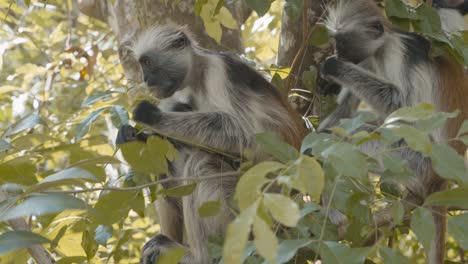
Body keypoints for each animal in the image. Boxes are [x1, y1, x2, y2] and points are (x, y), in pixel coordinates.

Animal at [117, 25, 308, 264]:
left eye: (147, 63)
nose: (145, 79)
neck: (196, 77)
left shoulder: (218, 71)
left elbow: (245, 135)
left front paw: (150, 116)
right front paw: (131, 135)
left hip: (258, 201)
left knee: (201, 161)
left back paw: (199, 257)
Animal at [318, 0, 468, 264]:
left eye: (342, 42)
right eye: (335, 41)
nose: (336, 52)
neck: (383, 47)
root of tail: (440, 179)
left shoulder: (399, 55)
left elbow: (404, 108)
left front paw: (334, 67)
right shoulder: (366, 60)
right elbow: (346, 107)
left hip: (416, 163)